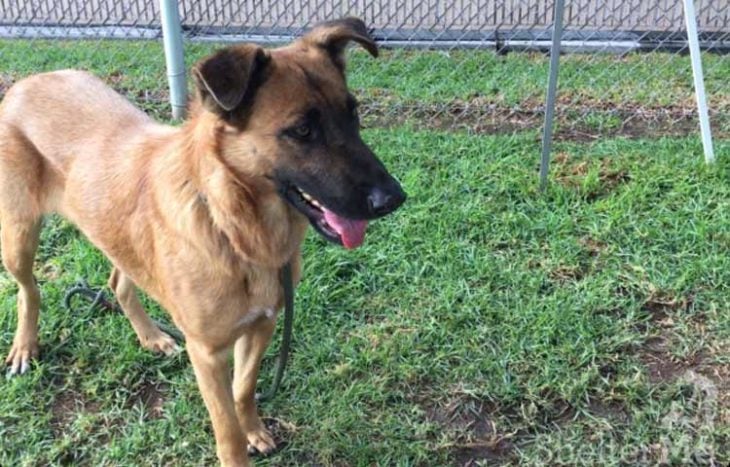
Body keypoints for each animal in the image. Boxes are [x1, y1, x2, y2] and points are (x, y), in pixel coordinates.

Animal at [0, 17, 404, 464]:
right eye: (302, 130)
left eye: (354, 114)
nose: (393, 198)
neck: (233, 227)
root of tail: (29, 82)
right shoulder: (207, 353)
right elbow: (225, 428)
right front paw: (238, 446)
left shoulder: (262, 325)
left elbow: (244, 389)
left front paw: (254, 430)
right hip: (18, 236)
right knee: (28, 290)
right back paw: (24, 346)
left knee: (118, 282)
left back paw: (152, 336)